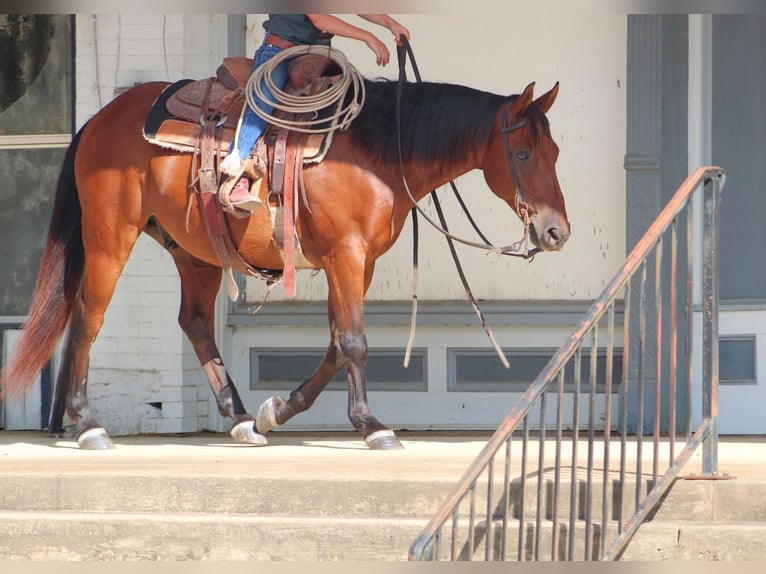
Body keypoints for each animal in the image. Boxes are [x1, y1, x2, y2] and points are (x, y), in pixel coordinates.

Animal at [0, 73, 570, 451]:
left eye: (556, 152)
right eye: (523, 154)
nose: (556, 231)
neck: (379, 150)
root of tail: (98, 119)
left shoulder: (356, 262)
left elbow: (338, 343)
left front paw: (277, 411)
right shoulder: (346, 253)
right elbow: (354, 342)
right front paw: (373, 426)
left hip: (195, 251)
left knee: (195, 321)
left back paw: (240, 418)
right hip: (109, 237)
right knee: (88, 315)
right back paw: (89, 424)